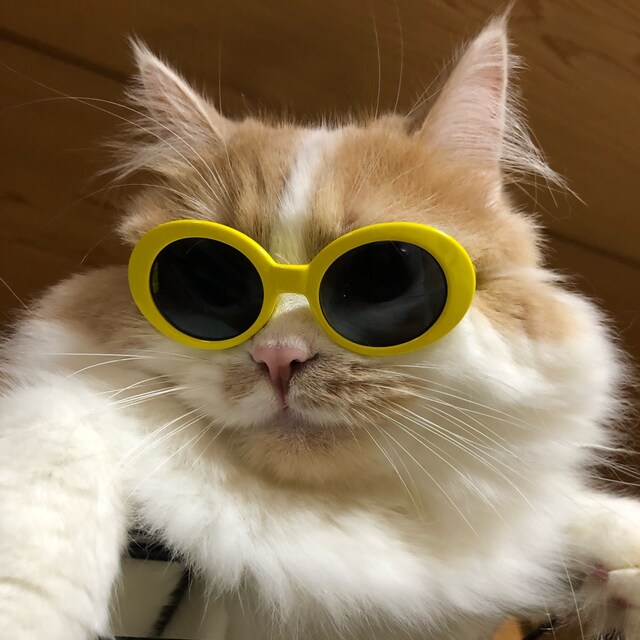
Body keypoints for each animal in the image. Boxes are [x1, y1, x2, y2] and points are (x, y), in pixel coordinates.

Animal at [1, 15, 640, 640]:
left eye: (382, 276)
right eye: (210, 277)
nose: (278, 358)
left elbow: (573, 514)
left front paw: (619, 568)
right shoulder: (69, 421)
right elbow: (61, 440)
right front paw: (29, 609)